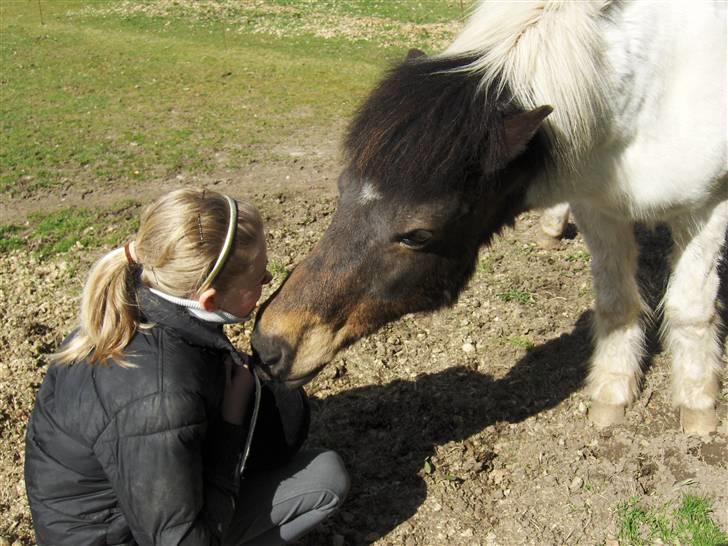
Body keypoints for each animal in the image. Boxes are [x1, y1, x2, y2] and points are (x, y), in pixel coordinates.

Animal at [252, 1, 728, 434]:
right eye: (343, 189)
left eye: (418, 234)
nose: (270, 343)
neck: (655, 88)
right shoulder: (598, 205)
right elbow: (617, 302)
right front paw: (612, 391)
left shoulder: (707, 208)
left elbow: (690, 308)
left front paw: (697, 402)